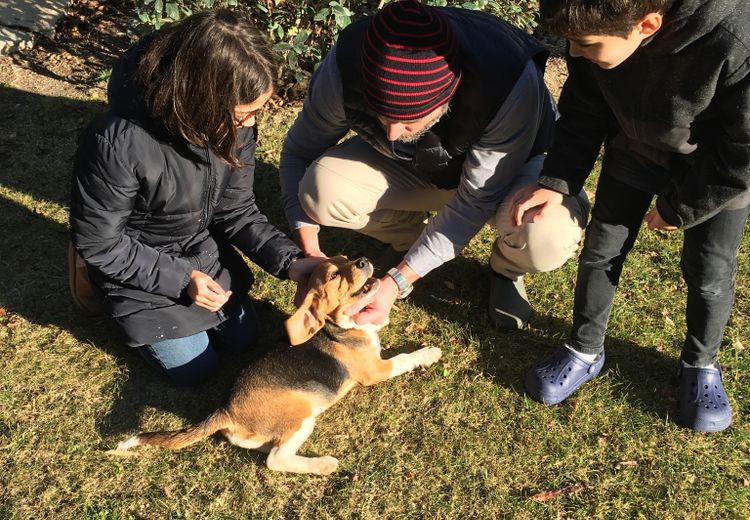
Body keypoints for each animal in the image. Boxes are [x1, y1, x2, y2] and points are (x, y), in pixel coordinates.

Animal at [114, 256, 444, 476]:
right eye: (334, 275)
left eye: (346, 259)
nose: (362, 260)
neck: (334, 327)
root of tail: (226, 409)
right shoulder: (375, 370)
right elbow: (404, 358)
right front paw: (429, 353)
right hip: (301, 415)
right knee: (275, 460)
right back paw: (323, 464)